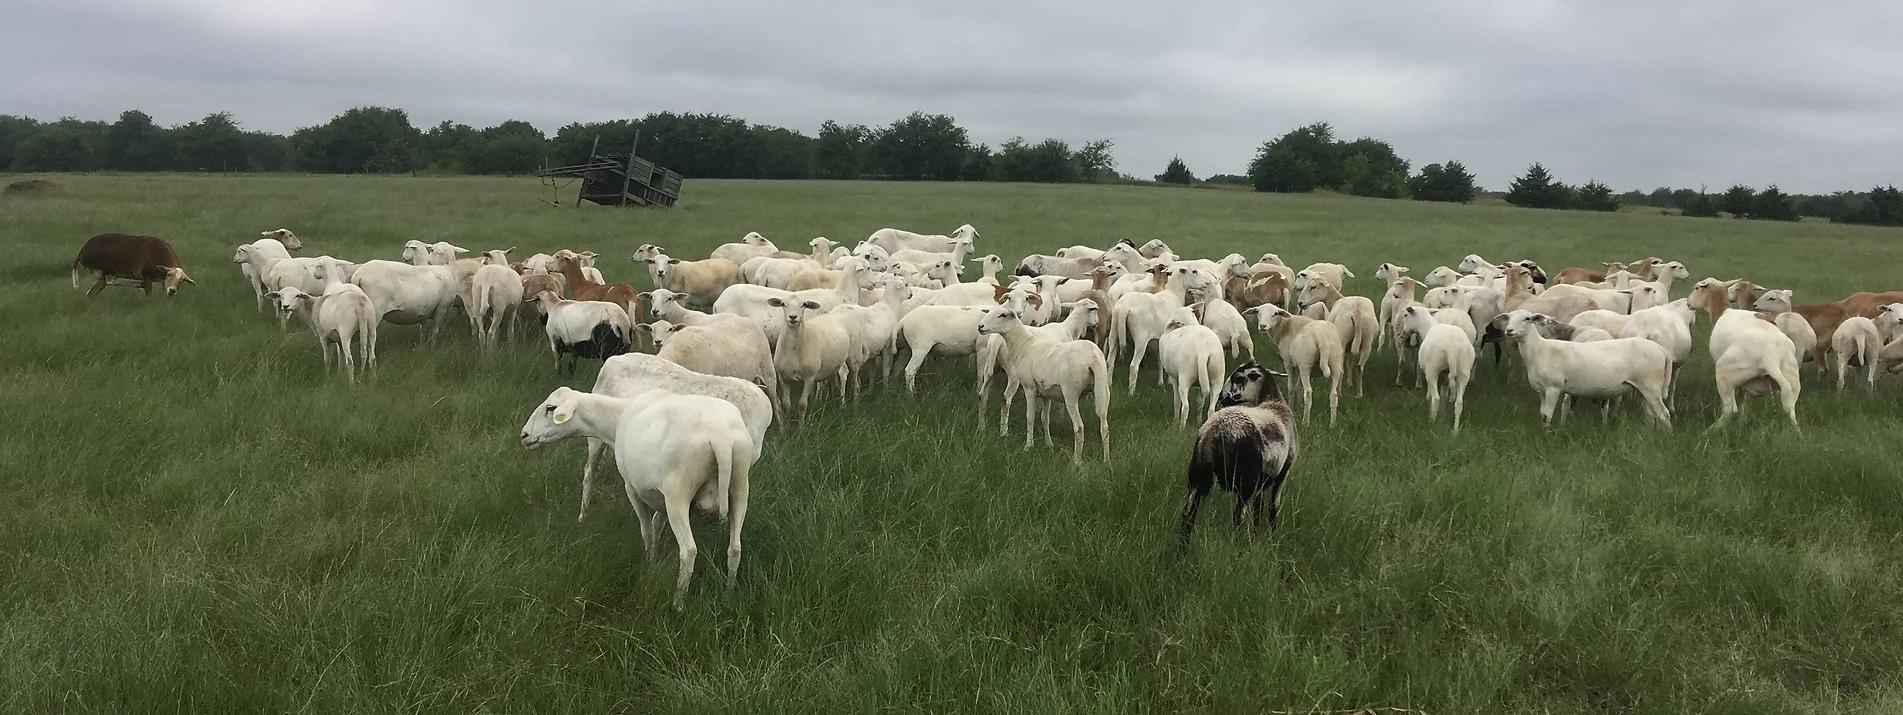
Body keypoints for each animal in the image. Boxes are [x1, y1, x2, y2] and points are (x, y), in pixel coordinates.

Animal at [1179, 363, 1301, 540]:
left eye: (1238, 378)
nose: (1222, 397)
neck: (1274, 402)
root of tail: (1213, 433)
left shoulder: (1262, 480)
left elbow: (1259, 508)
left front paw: (1257, 534)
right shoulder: (1283, 471)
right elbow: (1273, 506)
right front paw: (1272, 535)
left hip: (1197, 473)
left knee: (1188, 513)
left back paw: (1183, 545)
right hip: (1246, 479)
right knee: (1238, 515)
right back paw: (1238, 543)